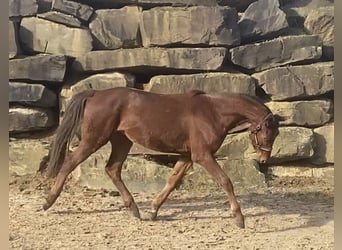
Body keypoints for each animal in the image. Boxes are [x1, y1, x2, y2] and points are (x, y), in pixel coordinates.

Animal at [41, 87, 280, 229]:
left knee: (112, 169)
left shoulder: (187, 156)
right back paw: (48, 201)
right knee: (70, 162)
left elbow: (172, 181)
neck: (213, 112)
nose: (263, 159)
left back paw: (134, 209)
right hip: (95, 139)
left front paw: (154, 210)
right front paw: (239, 218)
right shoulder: (202, 155)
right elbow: (225, 181)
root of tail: (95, 93)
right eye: (269, 133)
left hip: (121, 141)